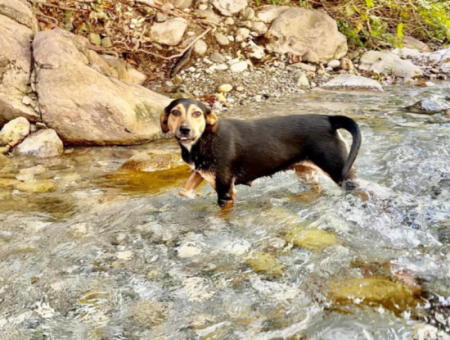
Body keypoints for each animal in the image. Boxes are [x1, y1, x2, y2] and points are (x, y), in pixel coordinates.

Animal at [162, 98, 362, 207]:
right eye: (174, 112)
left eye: (197, 114)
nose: (185, 130)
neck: (204, 139)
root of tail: (329, 119)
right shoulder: (201, 171)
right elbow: (183, 190)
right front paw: (194, 196)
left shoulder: (226, 191)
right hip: (307, 172)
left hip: (340, 171)